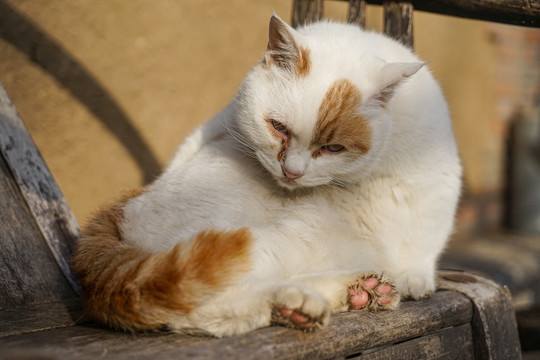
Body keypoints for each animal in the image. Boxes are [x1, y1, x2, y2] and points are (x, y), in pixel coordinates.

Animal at [70, 14, 460, 338]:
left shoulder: (437, 175)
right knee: (193, 309)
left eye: (333, 148)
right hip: (238, 245)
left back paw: (354, 293)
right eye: (278, 128)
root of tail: (119, 210)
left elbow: (426, 235)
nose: (292, 171)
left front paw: (414, 277)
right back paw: (300, 302)